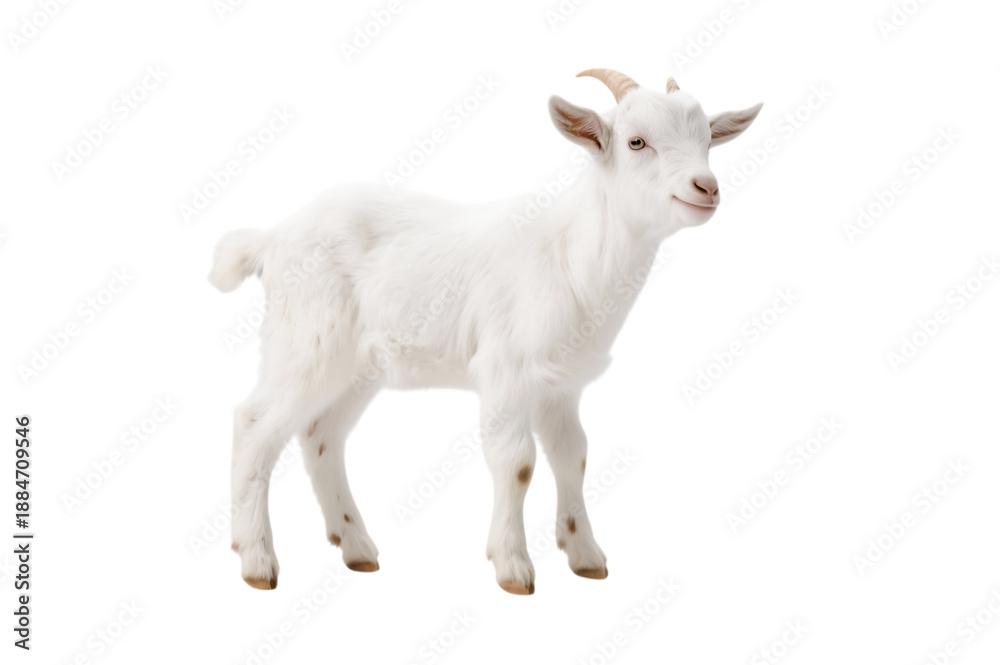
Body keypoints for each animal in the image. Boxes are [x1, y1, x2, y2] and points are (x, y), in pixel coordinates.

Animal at [210, 69, 762, 594]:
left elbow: (574, 456)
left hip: (358, 367)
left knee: (321, 435)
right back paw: (256, 560)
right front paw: (513, 566)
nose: (706, 187)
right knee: (253, 423)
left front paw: (585, 555)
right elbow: (517, 463)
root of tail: (272, 238)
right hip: (307, 341)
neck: (572, 255)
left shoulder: (561, 384)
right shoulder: (505, 370)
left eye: (707, 140)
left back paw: (356, 546)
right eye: (636, 142)